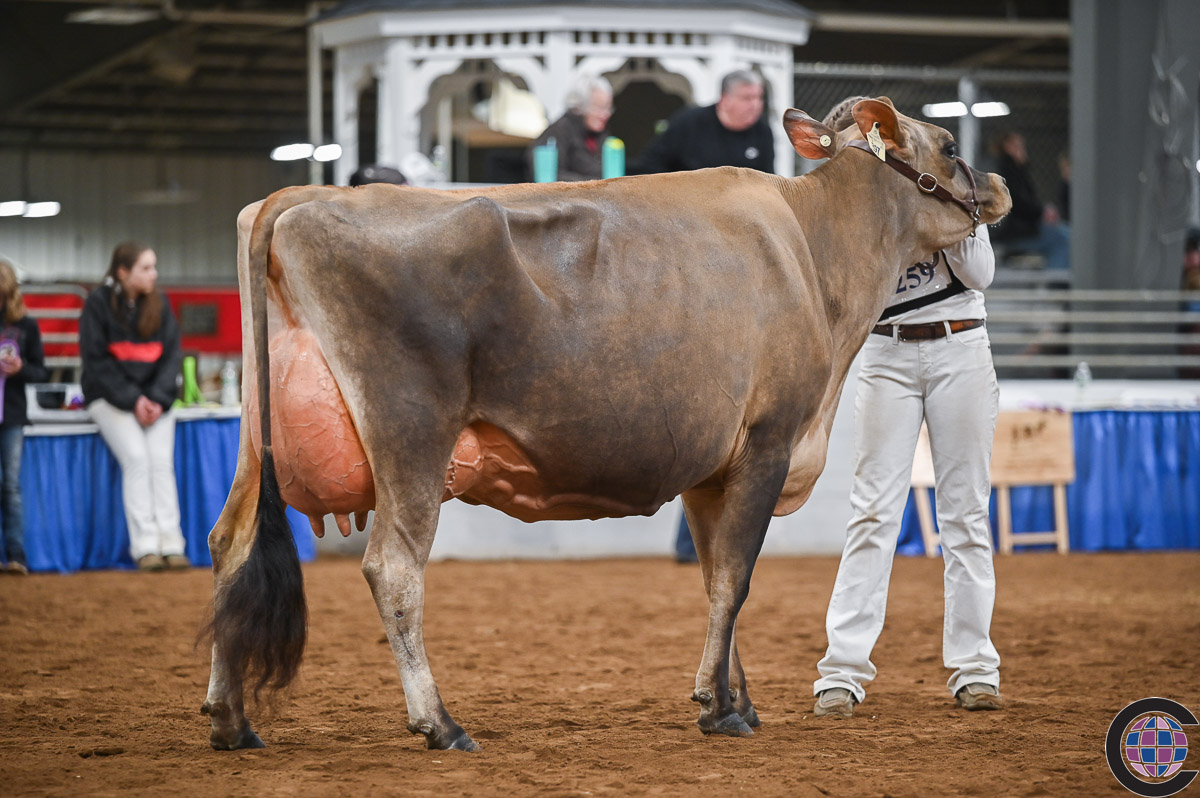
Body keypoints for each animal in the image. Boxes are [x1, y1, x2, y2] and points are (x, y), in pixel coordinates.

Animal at [201, 99, 1008, 753]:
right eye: (946, 143)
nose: (998, 187)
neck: (814, 251)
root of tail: (300, 192)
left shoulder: (711, 466)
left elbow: (716, 578)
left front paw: (731, 699)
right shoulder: (769, 441)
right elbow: (736, 580)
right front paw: (721, 709)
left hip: (253, 439)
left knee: (230, 544)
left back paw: (231, 721)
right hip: (411, 430)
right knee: (394, 568)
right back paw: (440, 723)